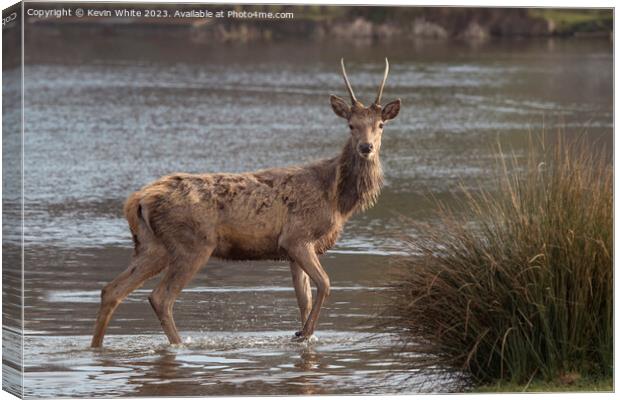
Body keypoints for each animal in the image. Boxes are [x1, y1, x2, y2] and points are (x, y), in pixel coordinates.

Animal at [92, 58, 402, 346]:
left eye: (380, 125)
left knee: (112, 290)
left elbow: (304, 298)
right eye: (351, 125)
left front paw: (303, 333)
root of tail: (137, 201)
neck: (337, 198)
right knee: (160, 297)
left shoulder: (293, 249)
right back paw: (179, 343)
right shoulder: (297, 237)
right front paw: (303, 334)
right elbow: (325, 284)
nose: (366, 147)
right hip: (193, 243)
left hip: (152, 246)